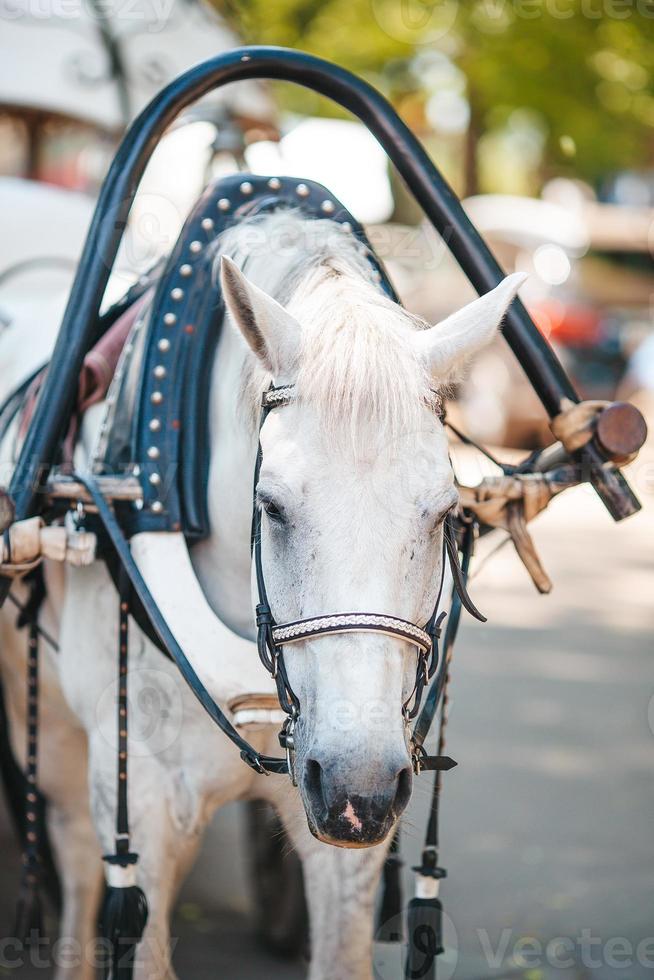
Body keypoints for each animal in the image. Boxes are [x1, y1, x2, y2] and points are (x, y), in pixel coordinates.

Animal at [0, 205, 524, 972]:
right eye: (271, 507)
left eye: (444, 514)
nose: (358, 790)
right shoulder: (145, 808)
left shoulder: (346, 843)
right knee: (73, 861)